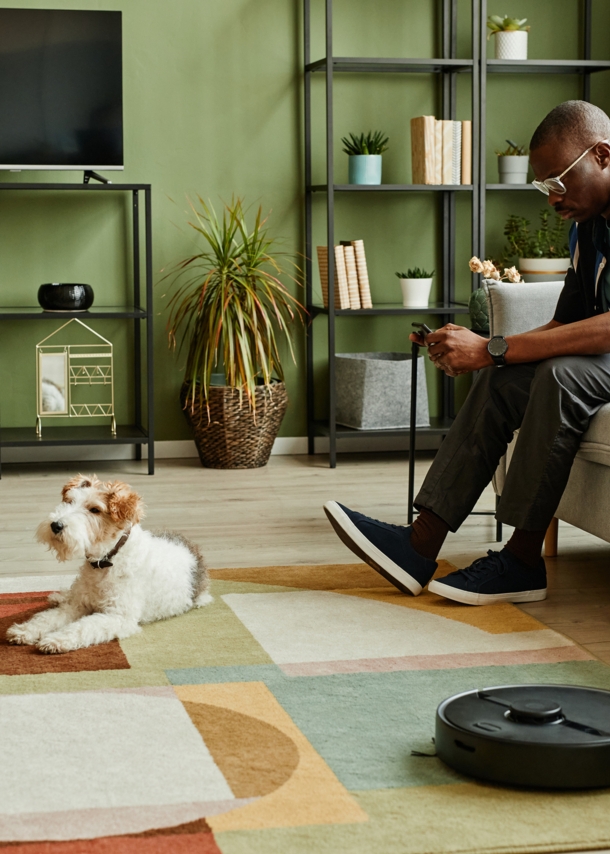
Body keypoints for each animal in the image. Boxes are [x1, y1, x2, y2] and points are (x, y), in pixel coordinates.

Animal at [5, 474, 211, 656]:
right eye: (69, 501)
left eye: (95, 509)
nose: (56, 525)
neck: (106, 560)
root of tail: (192, 547)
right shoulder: (78, 605)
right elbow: (47, 618)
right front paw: (24, 630)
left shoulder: (118, 616)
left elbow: (82, 626)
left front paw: (55, 641)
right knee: (67, 597)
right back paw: (58, 596)